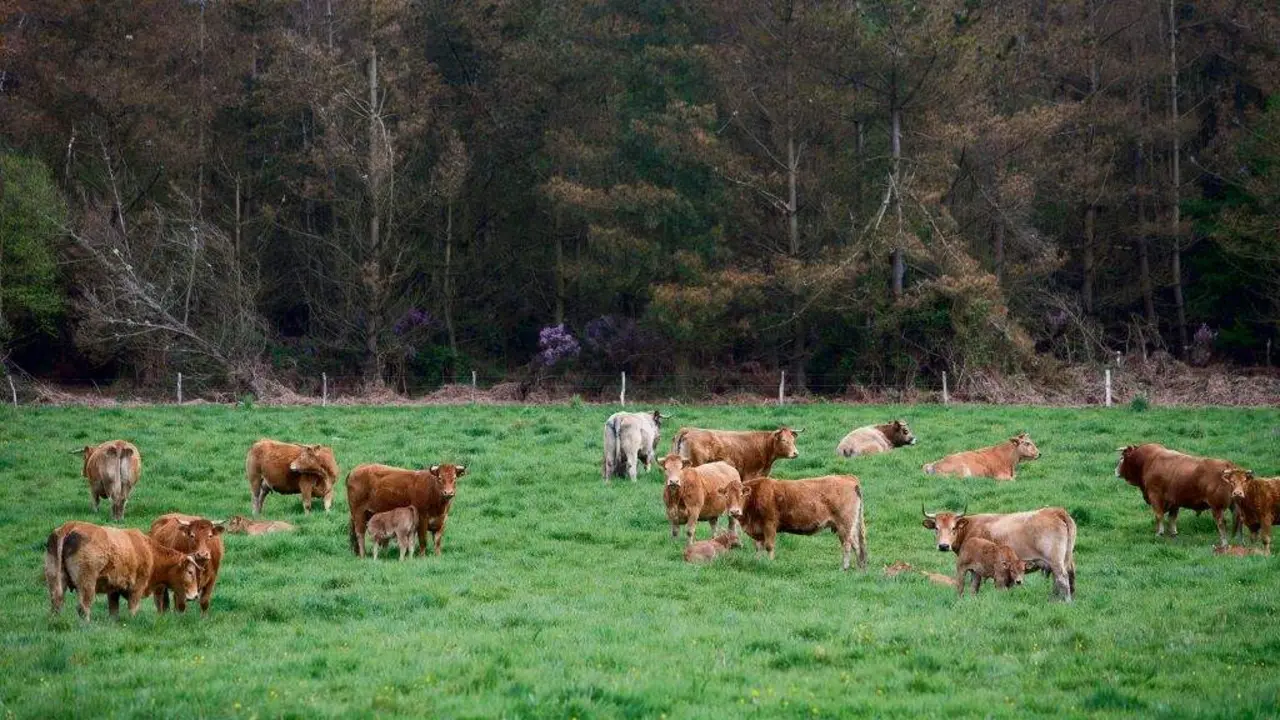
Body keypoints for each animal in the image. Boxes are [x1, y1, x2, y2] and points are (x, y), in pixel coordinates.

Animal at [44, 521, 202, 620]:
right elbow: (133, 609)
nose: (195, 595)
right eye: (190, 572)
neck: (149, 552)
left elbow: (114, 611)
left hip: (54, 579)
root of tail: (70, 526)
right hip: (87, 584)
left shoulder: (113, 590)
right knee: (83, 607)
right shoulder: (137, 588)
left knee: (56, 602)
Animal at [739, 475, 867, 571]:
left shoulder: (769, 525)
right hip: (849, 526)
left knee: (847, 544)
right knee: (856, 545)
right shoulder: (758, 529)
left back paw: (844, 567)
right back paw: (860, 568)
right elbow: (758, 547)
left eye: (740, 495)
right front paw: (757, 561)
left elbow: (769, 546)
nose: (735, 511)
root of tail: (847, 477)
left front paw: (770, 563)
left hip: (844, 525)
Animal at [922, 506, 1076, 601]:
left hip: (1055, 562)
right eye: (936, 528)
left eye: (953, 528)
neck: (970, 527)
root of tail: (1055, 511)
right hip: (1066, 560)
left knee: (1062, 579)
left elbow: (974, 585)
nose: (943, 546)